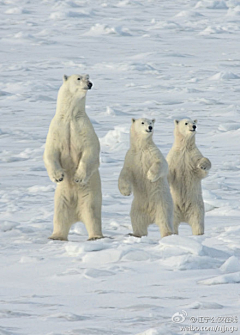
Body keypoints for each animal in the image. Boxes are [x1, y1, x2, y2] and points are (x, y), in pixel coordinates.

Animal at [43, 74, 102, 242]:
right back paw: (56, 236)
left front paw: (78, 177)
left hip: (90, 195)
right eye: (79, 78)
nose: (90, 84)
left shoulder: (83, 128)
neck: (70, 116)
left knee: (92, 213)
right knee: (60, 215)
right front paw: (58, 176)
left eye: (88, 76)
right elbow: (50, 151)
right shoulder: (58, 128)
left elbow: (90, 150)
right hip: (61, 197)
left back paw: (95, 237)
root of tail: (76, 216)